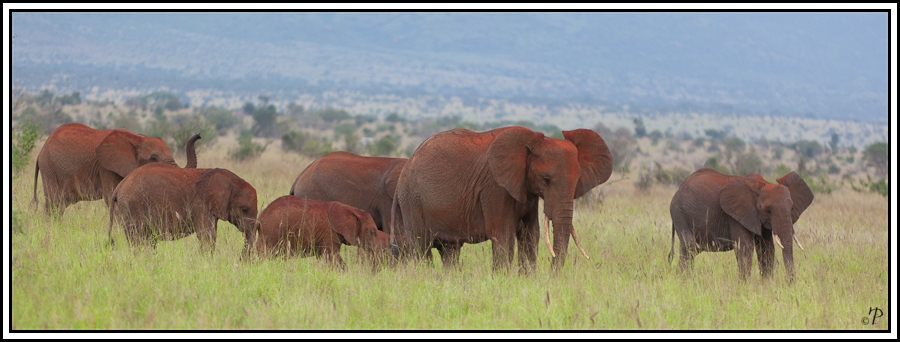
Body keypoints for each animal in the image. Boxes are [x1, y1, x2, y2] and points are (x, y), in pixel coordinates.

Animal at [33, 121, 200, 215]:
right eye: (153, 158)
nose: (198, 134)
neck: (137, 139)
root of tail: (40, 152)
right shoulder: (105, 167)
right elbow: (111, 198)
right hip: (49, 168)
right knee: (54, 204)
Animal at [108, 164, 260, 258]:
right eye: (244, 209)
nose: (241, 259)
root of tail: (118, 187)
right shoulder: (201, 204)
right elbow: (207, 236)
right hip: (133, 206)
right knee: (138, 239)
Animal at [253, 196, 394, 272]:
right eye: (372, 232)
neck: (351, 210)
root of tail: (260, 219)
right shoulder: (329, 232)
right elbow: (332, 257)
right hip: (271, 232)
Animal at [392, 127, 612, 274]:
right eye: (546, 180)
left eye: (577, 181)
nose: (552, 273)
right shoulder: (495, 188)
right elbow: (503, 235)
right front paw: (503, 278)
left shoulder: (524, 187)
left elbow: (530, 234)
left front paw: (527, 278)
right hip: (412, 200)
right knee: (421, 247)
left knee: (450, 251)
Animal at [668, 168, 816, 280]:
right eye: (767, 210)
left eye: (791, 208)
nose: (789, 283)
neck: (761, 185)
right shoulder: (735, 215)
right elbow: (745, 248)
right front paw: (744, 285)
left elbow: (767, 248)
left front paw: (766, 285)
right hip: (679, 212)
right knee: (689, 246)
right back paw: (684, 280)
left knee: (691, 249)